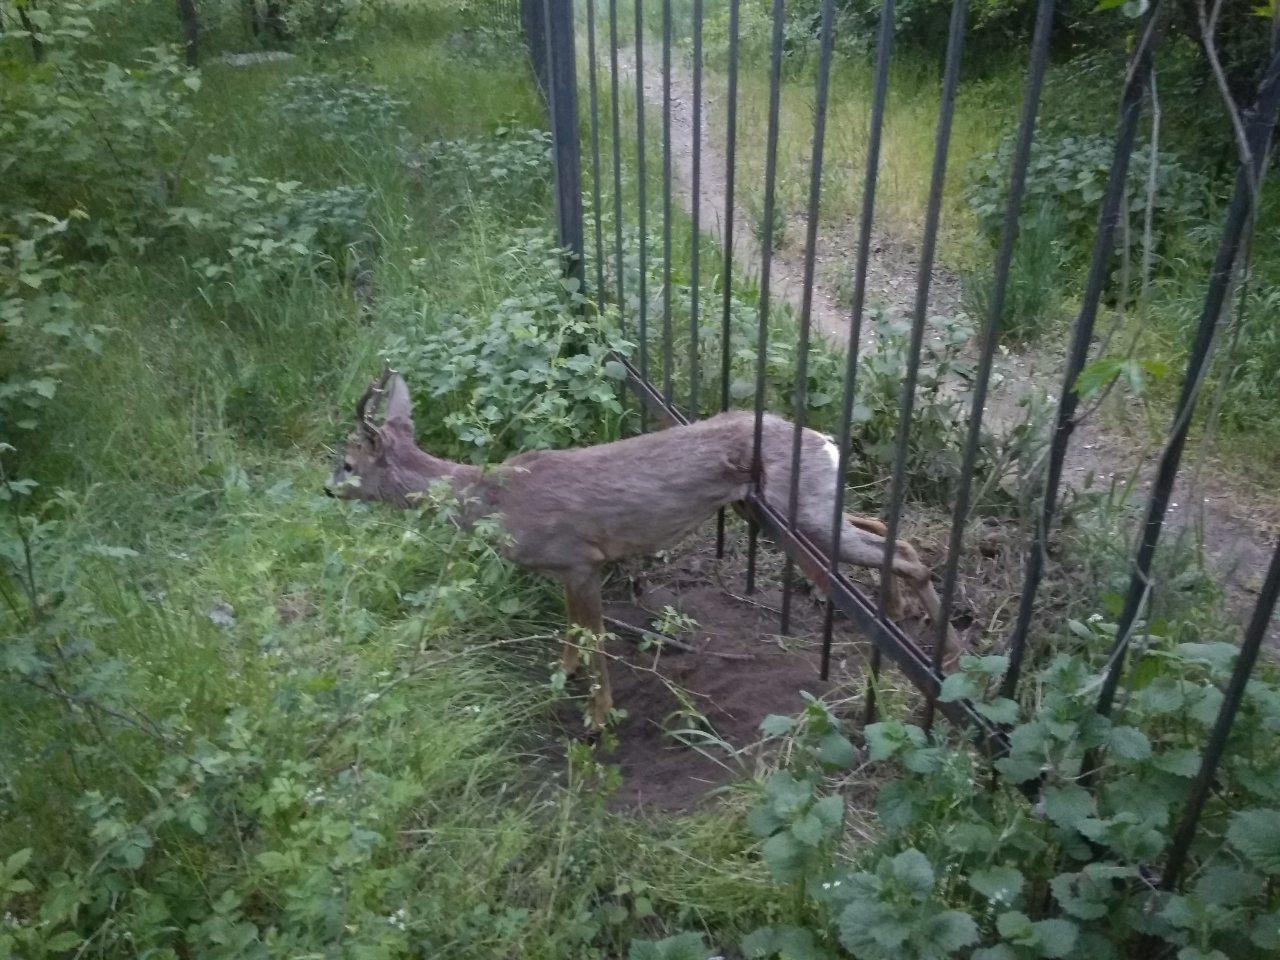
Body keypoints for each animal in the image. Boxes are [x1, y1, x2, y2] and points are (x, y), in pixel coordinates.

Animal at [325, 371, 962, 727]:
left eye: (349, 462)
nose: (327, 489)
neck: (497, 501)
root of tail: (825, 438)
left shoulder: (580, 558)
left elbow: (593, 636)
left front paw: (597, 717)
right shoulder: (565, 569)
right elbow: (571, 631)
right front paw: (563, 674)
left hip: (801, 510)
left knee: (902, 551)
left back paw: (944, 649)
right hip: (811, 503)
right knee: (890, 531)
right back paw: (907, 616)